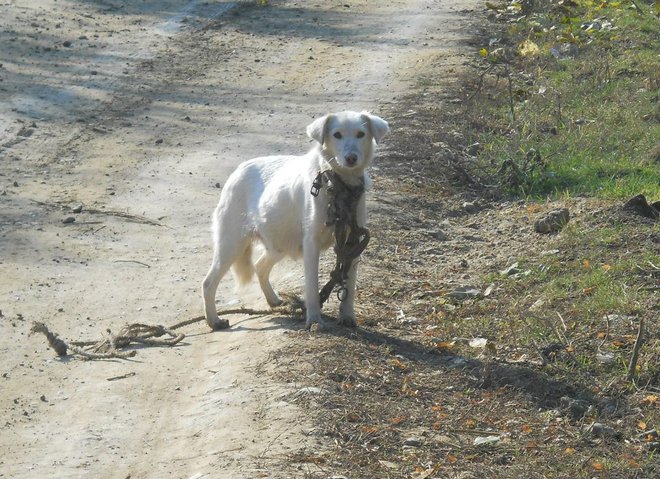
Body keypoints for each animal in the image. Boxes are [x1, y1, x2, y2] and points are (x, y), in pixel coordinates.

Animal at [200, 111, 386, 330]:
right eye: (337, 135)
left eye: (360, 134)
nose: (351, 158)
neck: (338, 188)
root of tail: (238, 170)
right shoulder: (311, 243)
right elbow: (312, 288)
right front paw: (314, 320)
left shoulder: (353, 242)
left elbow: (349, 286)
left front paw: (347, 317)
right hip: (232, 244)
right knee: (208, 283)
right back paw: (214, 320)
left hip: (278, 243)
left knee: (259, 266)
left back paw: (273, 300)